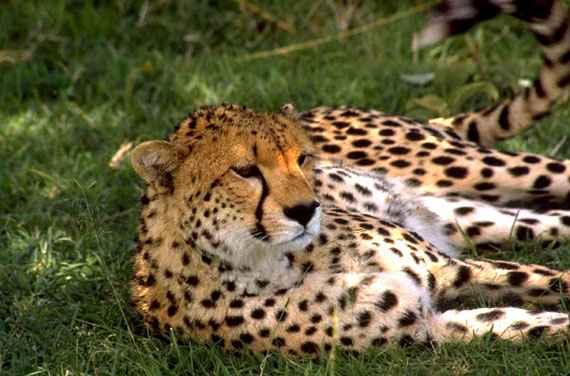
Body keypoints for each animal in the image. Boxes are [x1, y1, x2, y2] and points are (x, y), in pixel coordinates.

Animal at [130, 0, 570, 356]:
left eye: (302, 159)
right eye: (245, 170)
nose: (306, 210)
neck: (274, 261)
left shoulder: (447, 269)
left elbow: (553, 280)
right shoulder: (429, 324)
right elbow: (531, 322)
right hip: (466, 215)